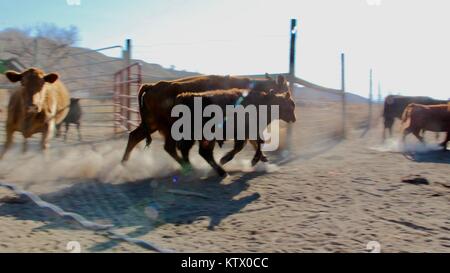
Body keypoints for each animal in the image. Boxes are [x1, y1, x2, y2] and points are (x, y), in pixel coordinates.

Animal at [120, 73, 288, 166]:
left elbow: (252, 141)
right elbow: (251, 141)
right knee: (169, 147)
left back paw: (123, 163)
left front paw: (263, 158)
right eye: (285, 89)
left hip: (151, 124)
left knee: (134, 136)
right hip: (166, 128)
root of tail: (152, 86)